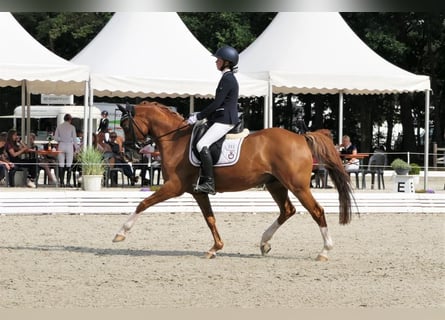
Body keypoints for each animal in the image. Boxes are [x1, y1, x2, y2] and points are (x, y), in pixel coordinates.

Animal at [112, 101, 354, 262]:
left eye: (126, 125)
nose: (131, 154)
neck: (176, 140)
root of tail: (301, 138)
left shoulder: (174, 187)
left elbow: (143, 203)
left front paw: (120, 233)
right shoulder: (198, 192)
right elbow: (210, 219)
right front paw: (215, 248)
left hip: (297, 186)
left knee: (316, 211)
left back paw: (324, 251)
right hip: (275, 184)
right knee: (287, 210)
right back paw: (264, 243)